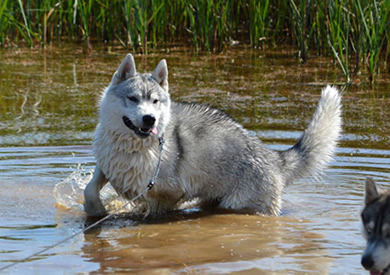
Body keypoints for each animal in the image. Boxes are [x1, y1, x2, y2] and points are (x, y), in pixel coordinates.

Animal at [83, 54, 342, 218]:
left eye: (155, 101)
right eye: (133, 98)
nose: (150, 119)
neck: (133, 147)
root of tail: (272, 157)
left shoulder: (167, 194)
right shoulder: (108, 165)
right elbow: (90, 188)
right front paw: (96, 210)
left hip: (237, 204)